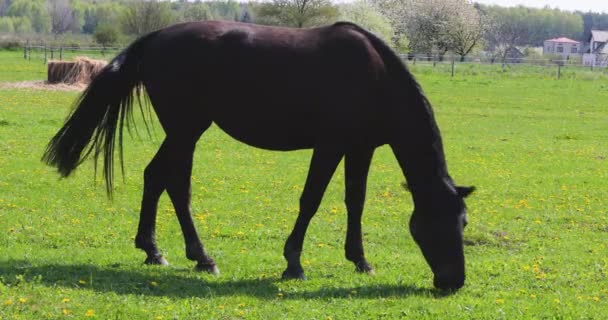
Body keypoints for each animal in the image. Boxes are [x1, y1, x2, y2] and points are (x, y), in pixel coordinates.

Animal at [45, 20, 478, 290]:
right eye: (436, 224)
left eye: (463, 222)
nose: (453, 282)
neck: (374, 76)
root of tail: (157, 37)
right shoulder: (330, 146)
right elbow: (311, 200)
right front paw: (293, 264)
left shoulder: (361, 148)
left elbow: (355, 200)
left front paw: (360, 260)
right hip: (186, 129)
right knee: (171, 182)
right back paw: (195, 256)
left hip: (185, 131)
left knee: (160, 179)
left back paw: (163, 253)